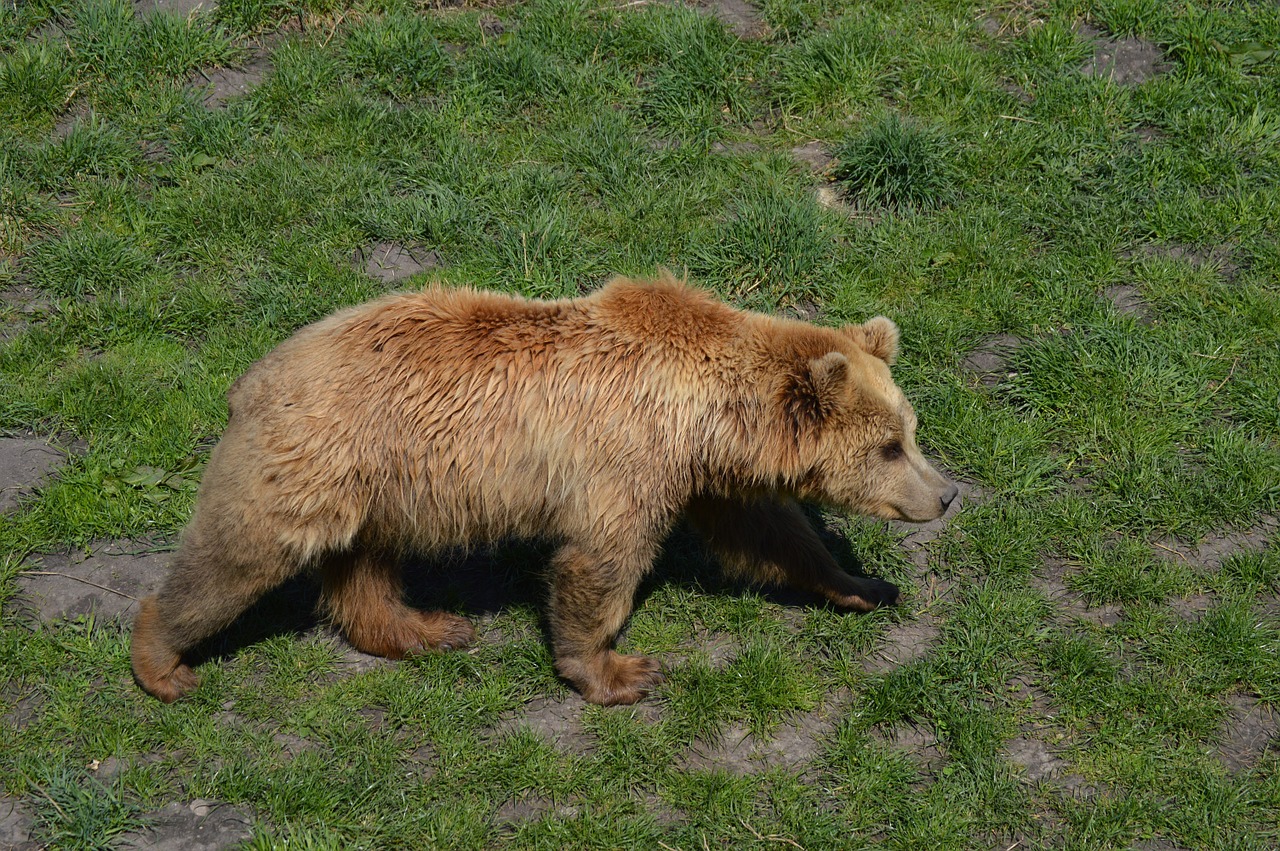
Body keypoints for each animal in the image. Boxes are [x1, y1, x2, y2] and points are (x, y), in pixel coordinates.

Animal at [132, 272, 952, 701]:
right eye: (888, 446)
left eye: (910, 429)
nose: (945, 494)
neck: (705, 414)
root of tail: (252, 377)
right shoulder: (629, 455)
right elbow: (602, 560)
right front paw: (618, 670)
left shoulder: (704, 475)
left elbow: (770, 533)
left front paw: (860, 584)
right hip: (311, 457)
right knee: (239, 554)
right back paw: (162, 661)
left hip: (381, 484)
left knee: (364, 566)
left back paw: (426, 628)